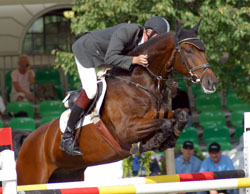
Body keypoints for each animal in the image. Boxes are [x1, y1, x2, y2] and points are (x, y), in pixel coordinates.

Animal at [16, 19, 218, 185]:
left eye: (204, 50)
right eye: (189, 50)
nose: (211, 83)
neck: (141, 83)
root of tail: (28, 140)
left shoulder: (159, 114)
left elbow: (179, 116)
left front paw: (168, 139)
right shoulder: (126, 130)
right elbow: (165, 123)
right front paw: (153, 142)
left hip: (68, 175)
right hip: (32, 178)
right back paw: (68, 142)